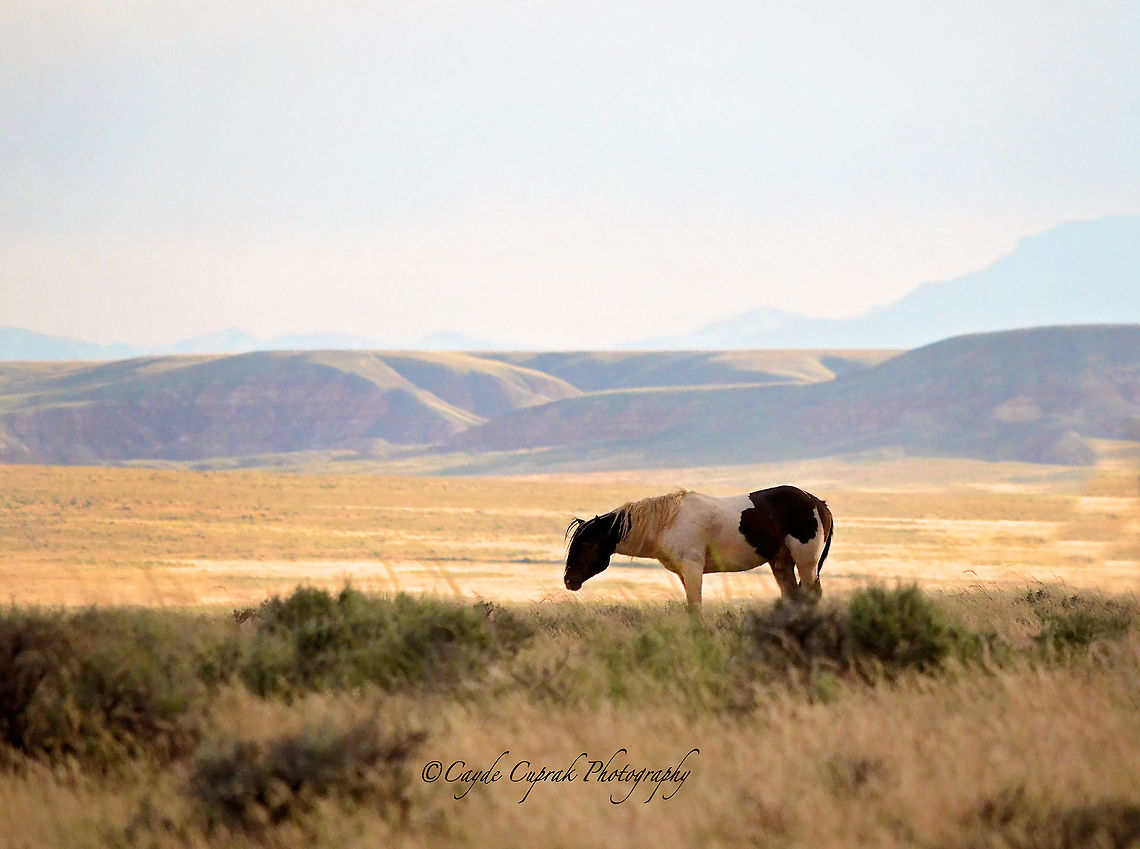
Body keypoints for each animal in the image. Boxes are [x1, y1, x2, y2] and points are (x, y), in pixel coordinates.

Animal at [564, 486, 833, 613]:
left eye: (587, 544)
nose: (568, 580)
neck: (666, 522)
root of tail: (818, 503)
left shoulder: (693, 568)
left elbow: (695, 606)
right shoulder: (684, 573)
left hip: (806, 562)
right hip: (782, 564)